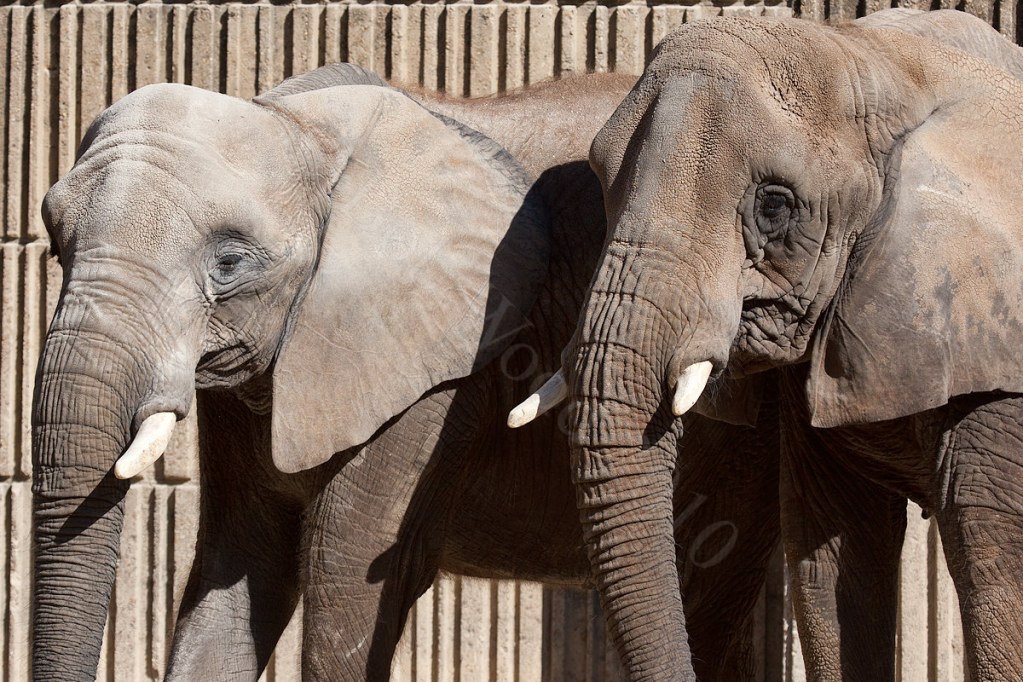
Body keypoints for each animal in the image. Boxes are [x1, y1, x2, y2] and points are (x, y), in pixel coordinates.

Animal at [31, 64, 782, 680]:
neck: (298, 126)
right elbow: (238, 567)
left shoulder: (443, 369)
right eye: (56, 244)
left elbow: (346, 573)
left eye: (230, 262)